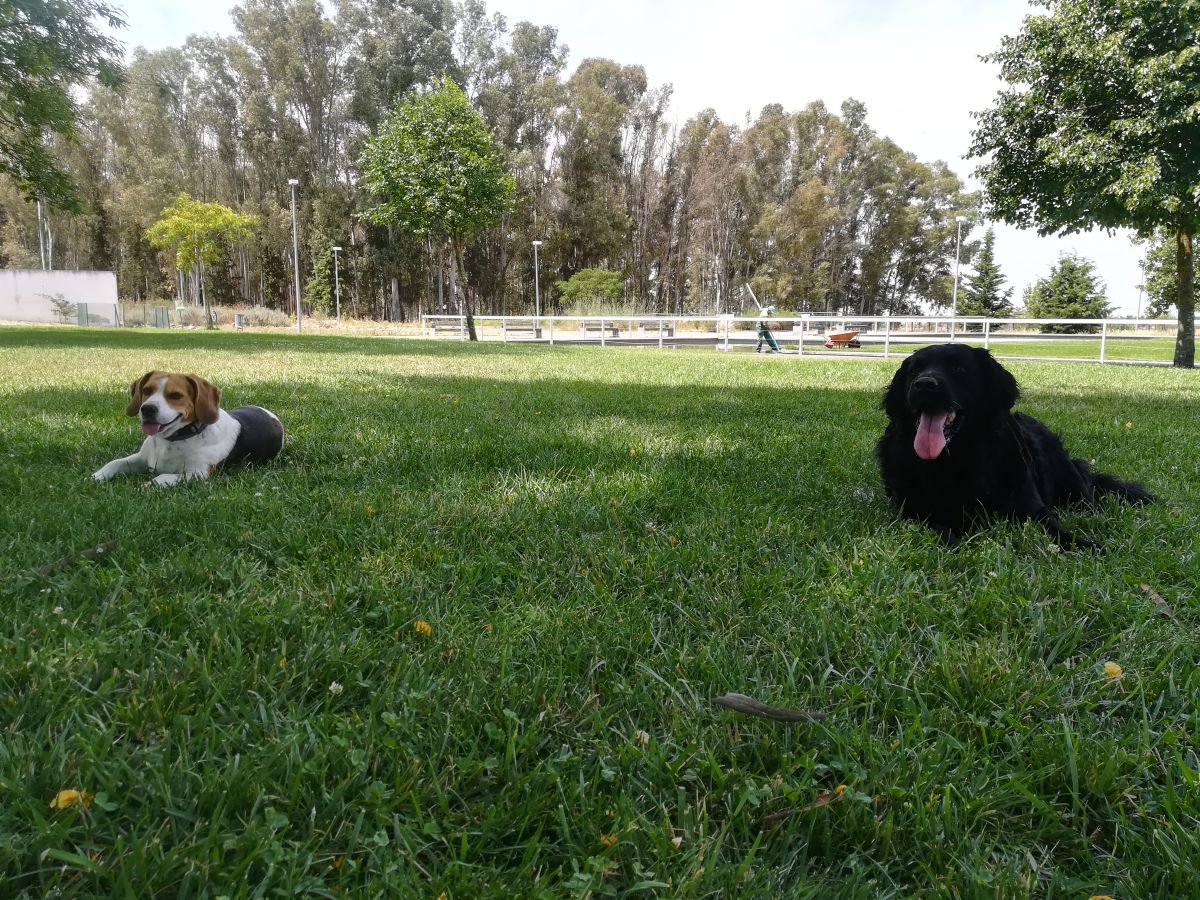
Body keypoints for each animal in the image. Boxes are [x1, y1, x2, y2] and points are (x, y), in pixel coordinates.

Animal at [92, 372, 284, 489]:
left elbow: (162, 477)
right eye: (147, 390)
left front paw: (144, 486)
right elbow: (115, 463)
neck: (173, 440)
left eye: (176, 396)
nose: (147, 409)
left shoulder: (197, 473)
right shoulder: (141, 458)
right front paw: (96, 477)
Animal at [878, 345, 1147, 547]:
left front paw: (1086, 545)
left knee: (1090, 504)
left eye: (959, 368)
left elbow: (1056, 529)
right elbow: (940, 531)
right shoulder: (913, 513)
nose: (923, 384)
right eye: (914, 370)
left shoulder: (1032, 508)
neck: (956, 459)